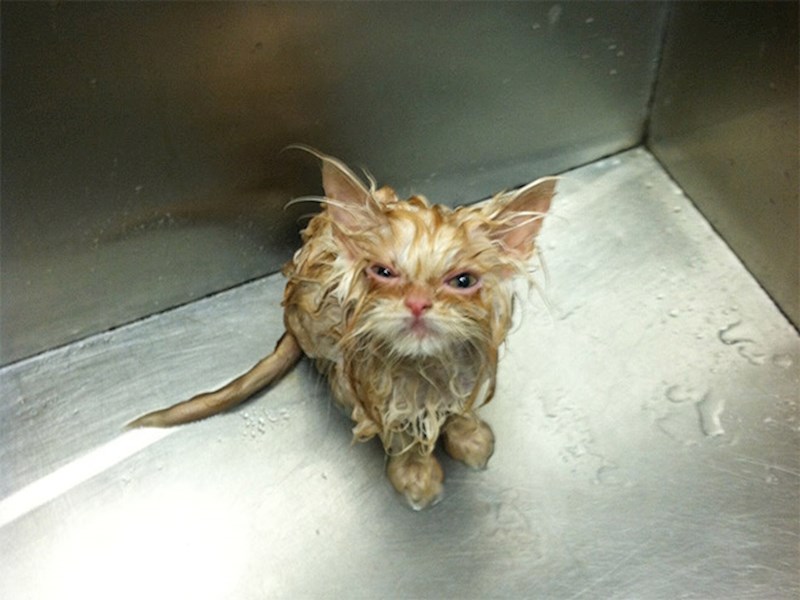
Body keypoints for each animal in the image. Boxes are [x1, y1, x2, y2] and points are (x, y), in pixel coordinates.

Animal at [129, 147, 556, 509]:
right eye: (383, 272)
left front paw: (468, 434)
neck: (422, 370)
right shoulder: (363, 392)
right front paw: (415, 474)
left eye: (463, 280)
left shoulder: (467, 366)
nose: (418, 302)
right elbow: (399, 434)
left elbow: (458, 405)